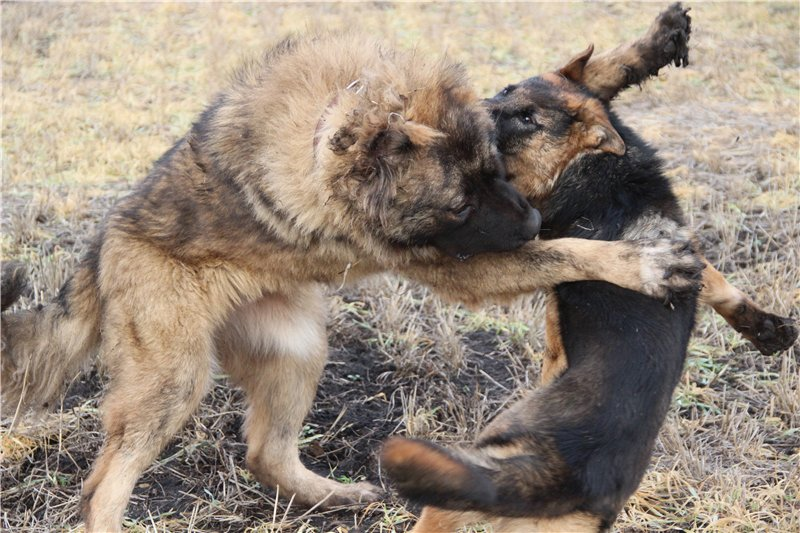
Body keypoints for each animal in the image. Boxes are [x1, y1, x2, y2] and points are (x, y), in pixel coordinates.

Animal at [384, 3, 796, 528]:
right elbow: (717, 281)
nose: (468, 110)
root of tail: (566, 476)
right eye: (507, 91)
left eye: (528, 118)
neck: (594, 166)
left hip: (464, 473)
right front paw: (766, 328)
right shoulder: (690, 253)